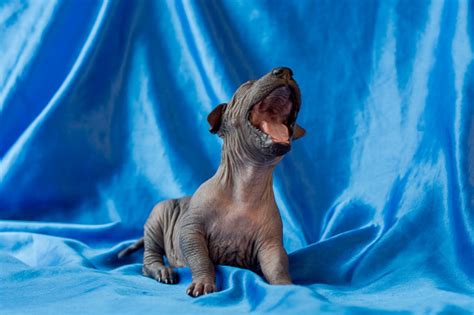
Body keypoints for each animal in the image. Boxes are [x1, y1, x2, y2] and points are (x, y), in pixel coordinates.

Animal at [116, 67, 306, 298]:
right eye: (247, 85)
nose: (285, 71)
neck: (247, 184)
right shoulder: (191, 232)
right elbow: (201, 259)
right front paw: (203, 282)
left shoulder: (271, 243)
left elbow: (277, 266)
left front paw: (287, 287)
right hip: (158, 216)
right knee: (148, 259)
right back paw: (162, 270)